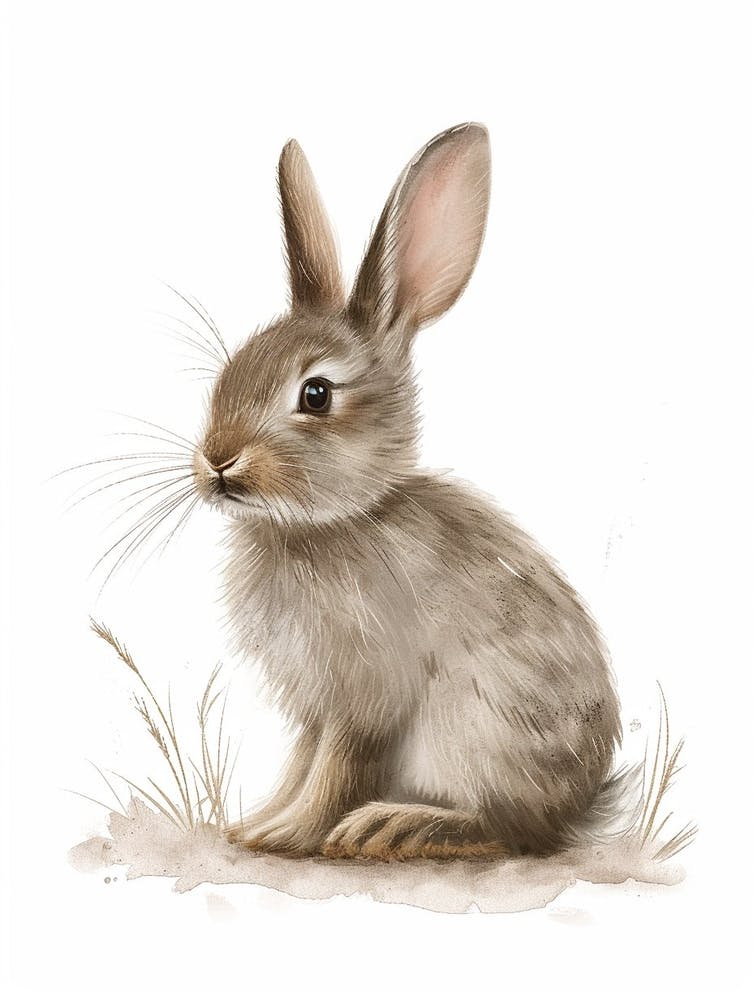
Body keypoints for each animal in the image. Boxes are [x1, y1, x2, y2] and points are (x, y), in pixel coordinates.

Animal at [192, 122, 622, 859]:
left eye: (315, 394)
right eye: (227, 375)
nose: (217, 460)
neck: (325, 524)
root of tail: (577, 805)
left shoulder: (365, 695)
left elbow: (336, 768)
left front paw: (290, 834)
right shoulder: (317, 705)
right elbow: (303, 761)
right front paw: (255, 823)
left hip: (473, 731)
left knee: (507, 833)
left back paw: (395, 825)